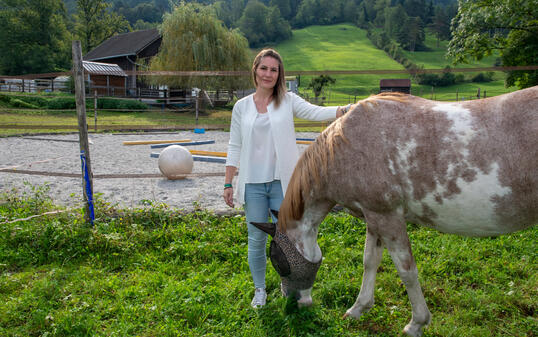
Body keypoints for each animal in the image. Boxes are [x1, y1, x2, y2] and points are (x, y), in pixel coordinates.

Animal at [252, 86, 536, 336]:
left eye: (276, 259)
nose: (292, 301)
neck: (346, 147)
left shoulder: (388, 217)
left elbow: (406, 270)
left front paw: (417, 323)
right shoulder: (374, 216)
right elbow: (370, 261)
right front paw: (359, 308)